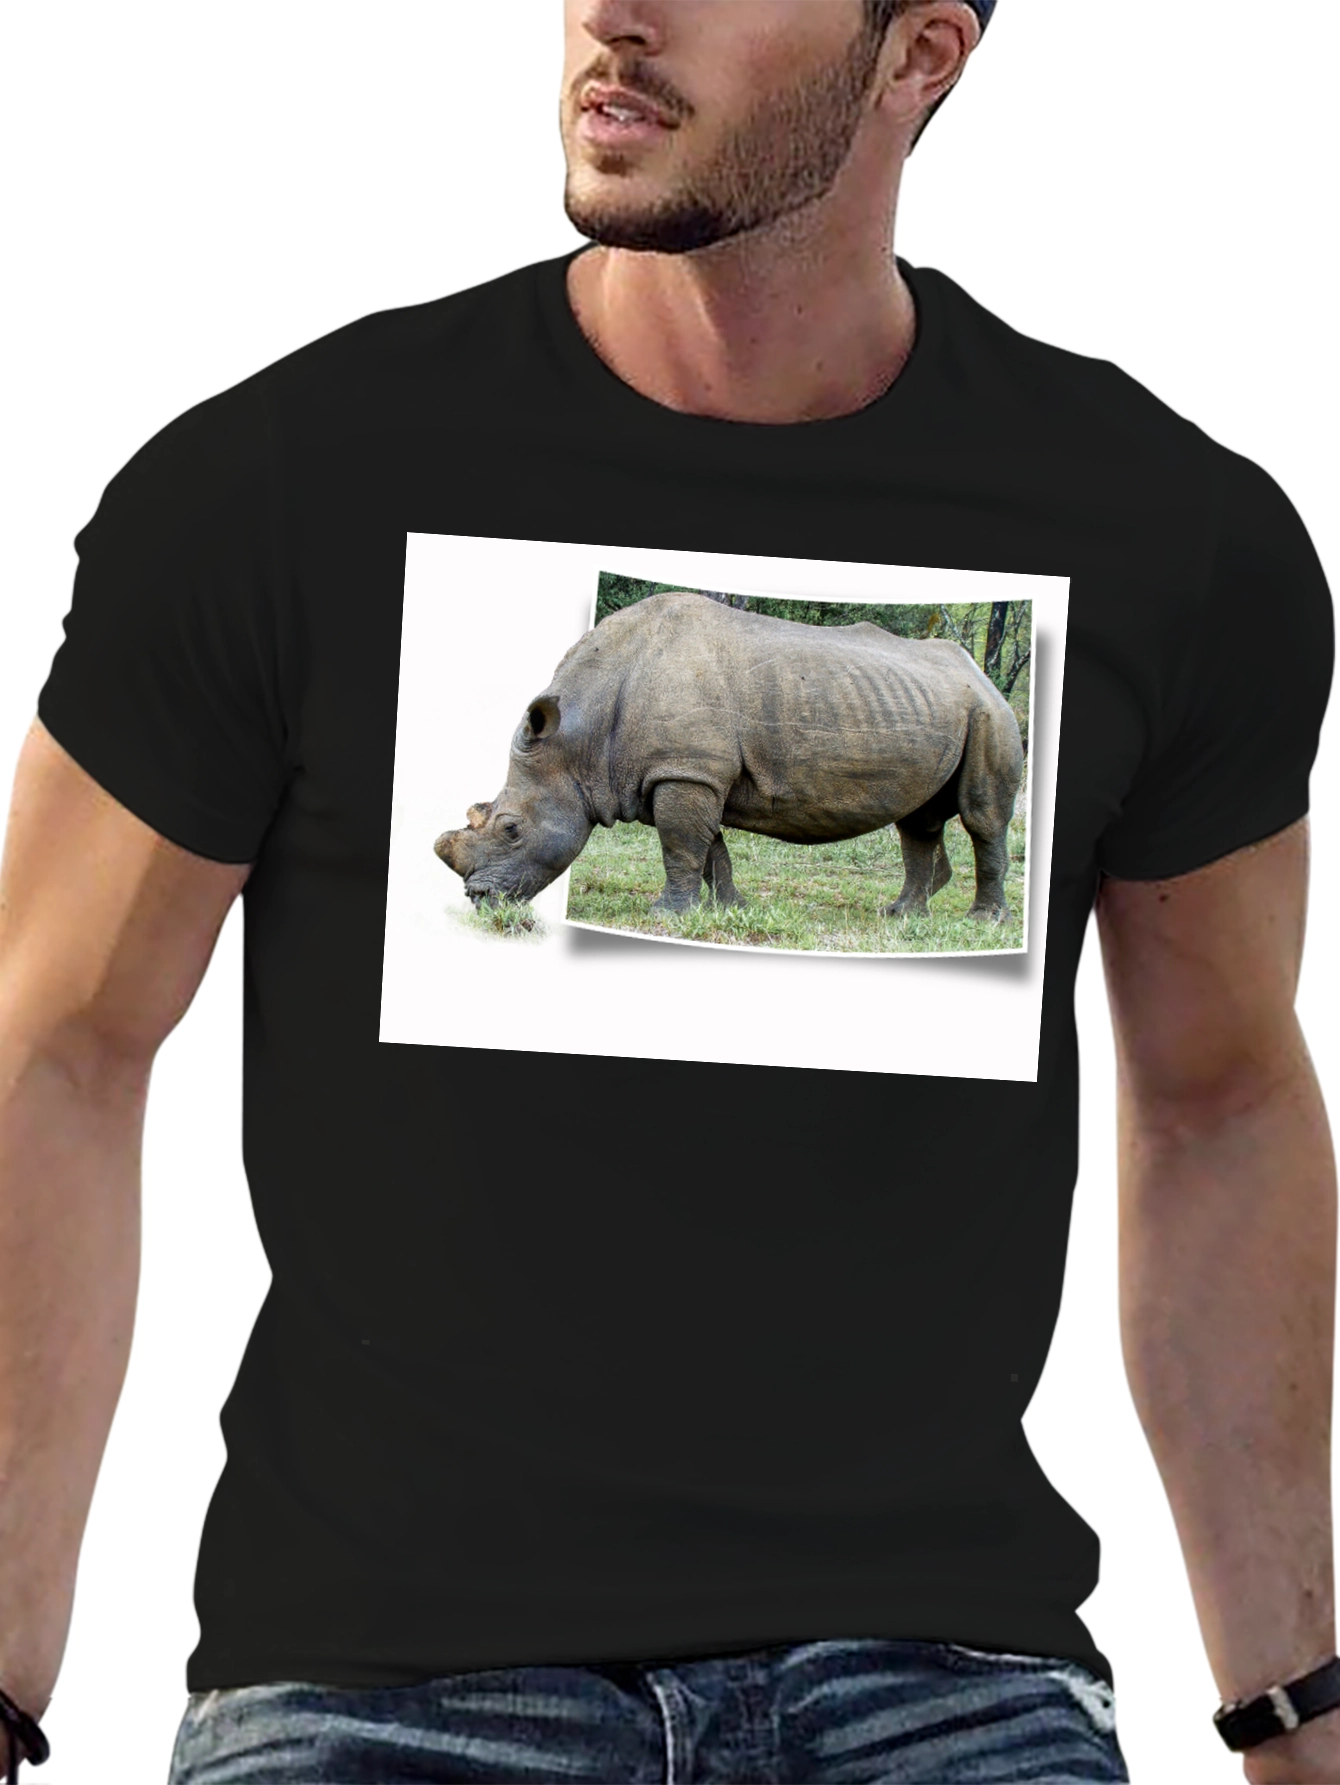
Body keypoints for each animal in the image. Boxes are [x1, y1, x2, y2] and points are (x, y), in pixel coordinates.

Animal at [434, 591, 1025, 922]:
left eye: (511, 829)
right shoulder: (692, 772)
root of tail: (978, 672)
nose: (478, 899)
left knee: (981, 817)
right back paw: (902, 917)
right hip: (940, 706)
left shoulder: (685, 771)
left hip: (991, 714)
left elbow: (680, 845)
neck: (581, 736)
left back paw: (981, 923)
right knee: (918, 821)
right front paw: (727, 909)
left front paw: (665, 916)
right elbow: (708, 847)